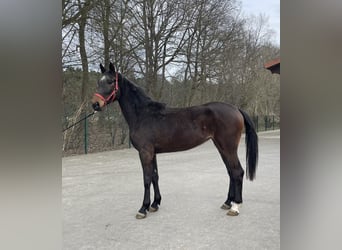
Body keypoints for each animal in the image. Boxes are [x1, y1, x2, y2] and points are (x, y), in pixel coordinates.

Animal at [92, 62, 258, 219]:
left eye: (111, 81)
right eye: (98, 82)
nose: (95, 104)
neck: (143, 115)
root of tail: (235, 109)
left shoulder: (145, 152)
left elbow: (146, 179)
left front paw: (143, 209)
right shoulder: (152, 153)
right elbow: (155, 176)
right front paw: (155, 204)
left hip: (228, 147)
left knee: (237, 172)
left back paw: (235, 207)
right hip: (221, 146)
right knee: (231, 172)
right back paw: (227, 202)